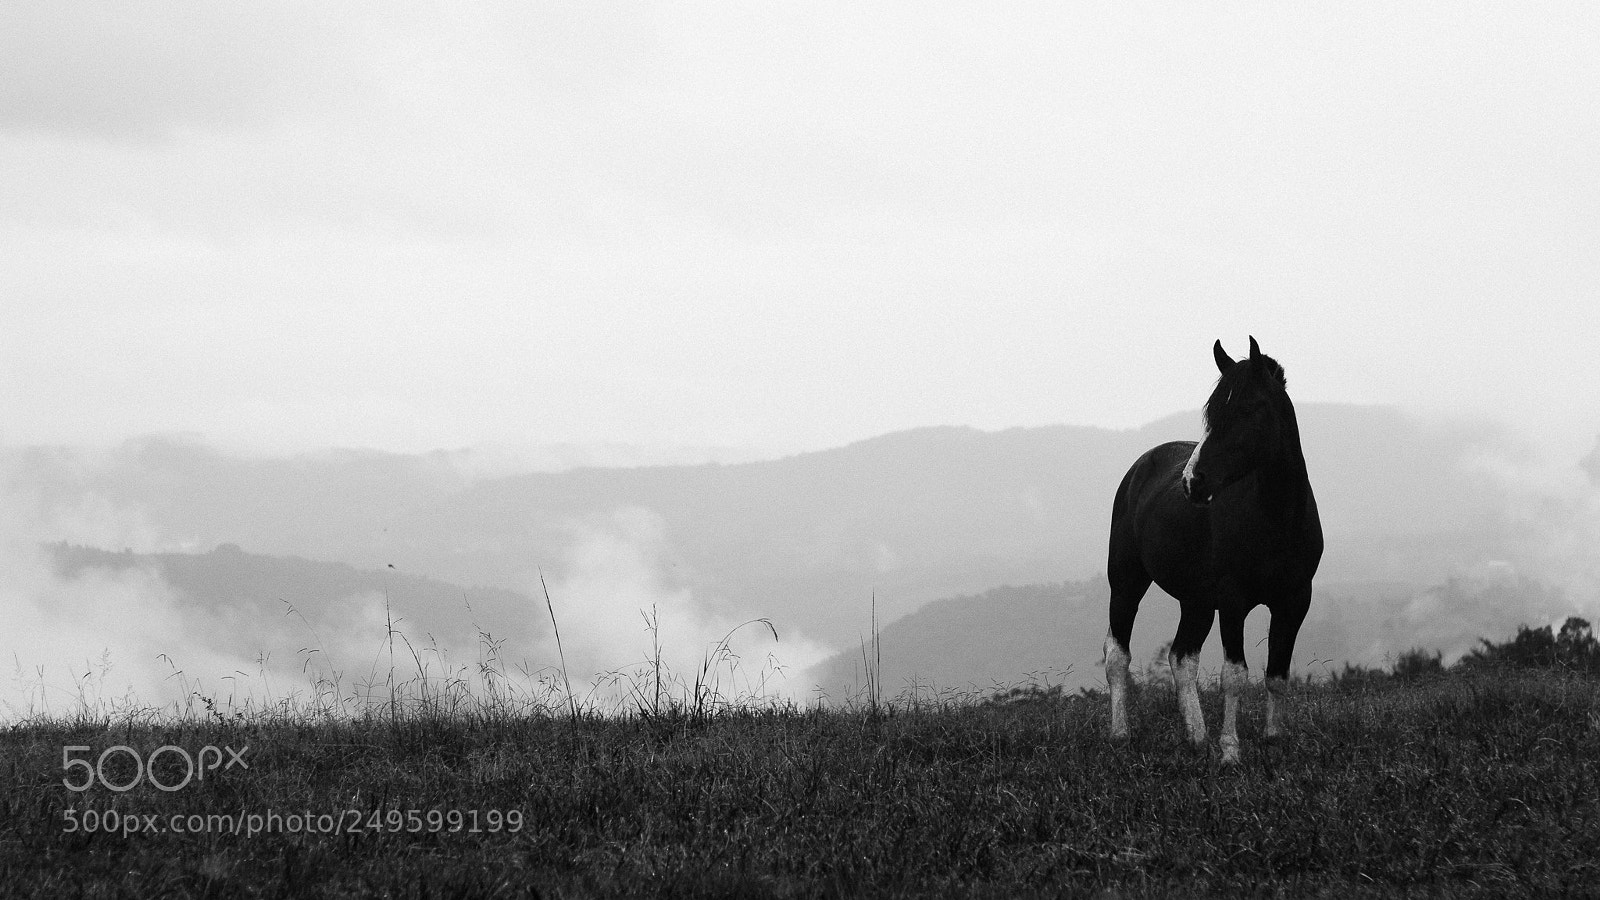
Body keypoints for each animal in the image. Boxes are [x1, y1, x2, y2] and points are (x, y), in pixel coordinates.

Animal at [1104, 336, 1322, 764]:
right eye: (1212, 411)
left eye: (1247, 408)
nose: (1193, 481)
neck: (1277, 519)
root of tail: (1140, 467)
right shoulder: (1233, 601)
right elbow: (1235, 676)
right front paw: (1230, 752)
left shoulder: (1294, 600)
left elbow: (1277, 674)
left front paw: (1274, 741)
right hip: (1125, 583)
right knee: (1118, 655)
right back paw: (1120, 735)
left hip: (1197, 601)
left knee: (1181, 657)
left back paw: (1196, 737)